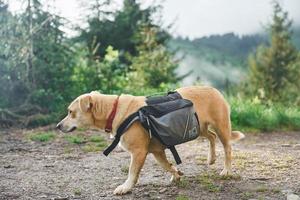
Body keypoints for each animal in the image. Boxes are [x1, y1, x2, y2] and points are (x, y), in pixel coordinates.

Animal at [56, 86, 244, 195]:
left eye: (71, 112)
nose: (58, 126)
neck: (113, 111)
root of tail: (214, 89)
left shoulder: (139, 152)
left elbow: (132, 173)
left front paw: (125, 187)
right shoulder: (157, 151)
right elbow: (166, 165)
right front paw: (176, 174)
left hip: (221, 127)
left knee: (227, 147)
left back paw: (226, 170)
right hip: (199, 128)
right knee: (211, 137)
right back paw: (211, 158)